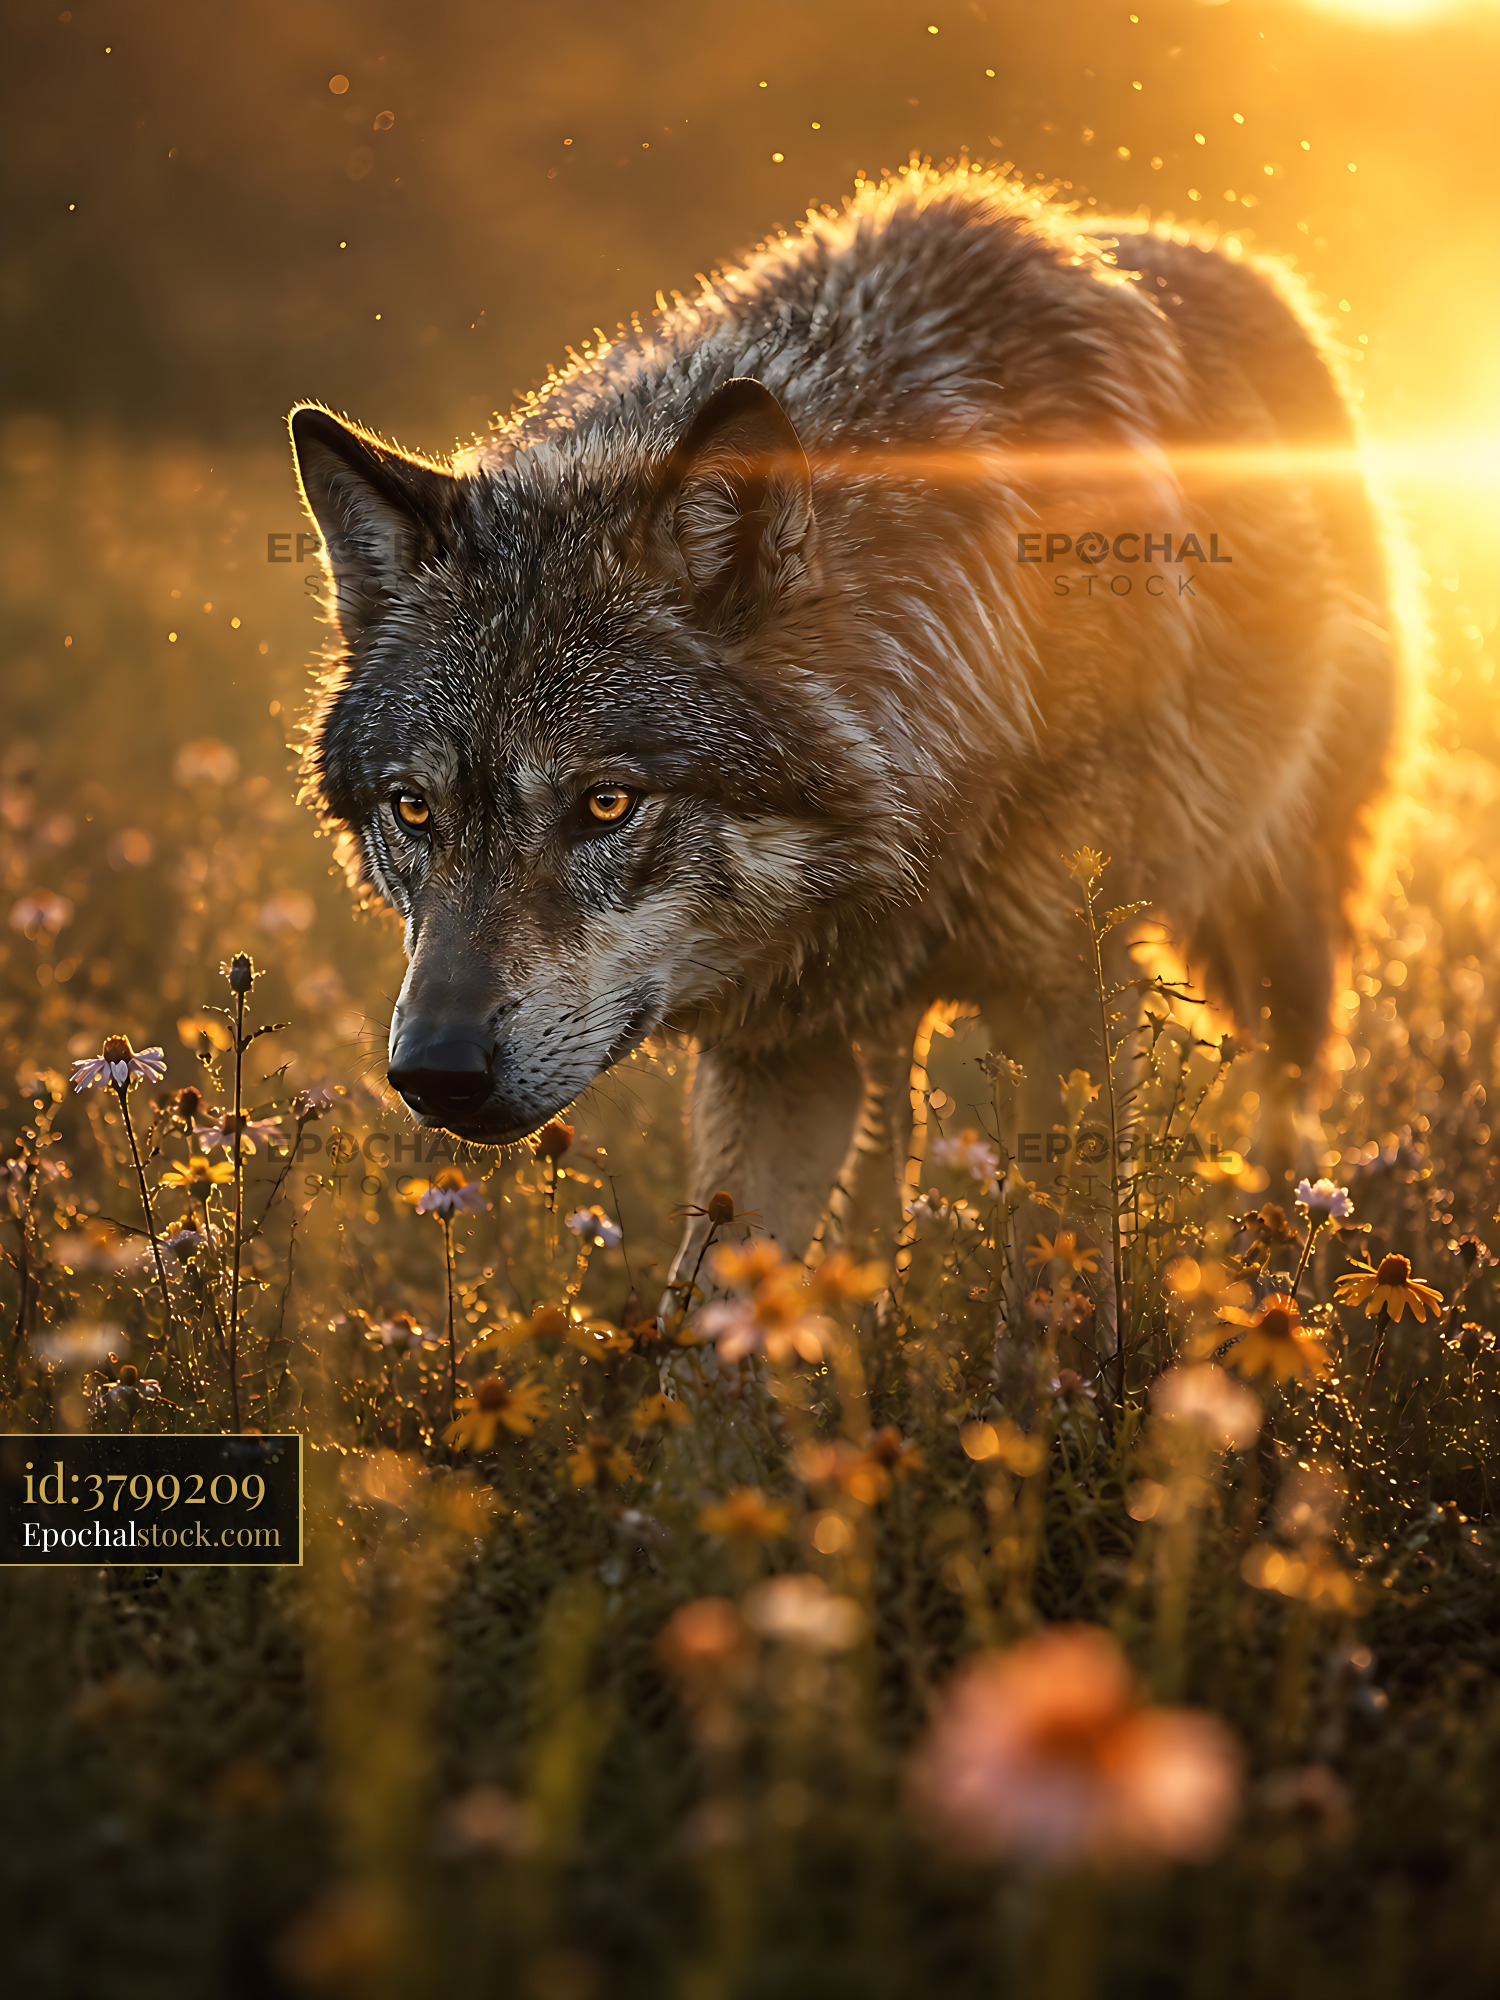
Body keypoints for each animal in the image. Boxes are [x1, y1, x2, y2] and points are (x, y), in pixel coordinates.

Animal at [290, 165, 1402, 1290]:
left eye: (607, 804)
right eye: (413, 810)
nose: (434, 1070)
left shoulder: (1069, 1010)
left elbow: (1058, 1299)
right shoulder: (780, 1050)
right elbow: (711, 1317)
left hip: (1281, 920)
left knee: (1289, 1105)